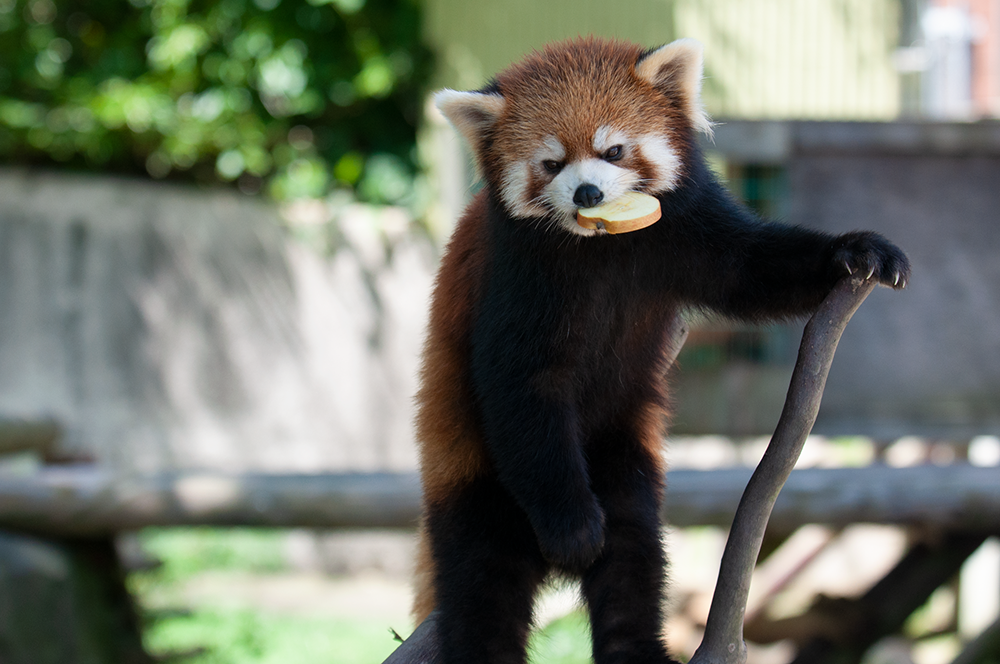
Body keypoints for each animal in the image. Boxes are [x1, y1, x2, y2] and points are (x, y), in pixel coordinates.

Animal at [410, 37, 912, 664]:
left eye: (614, 150)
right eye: (551, 164)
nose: (588, 192)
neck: (600, 243)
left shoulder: (690, 229)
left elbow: (751, 270)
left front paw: (855, 250)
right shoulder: (516, 277)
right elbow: (520, 385)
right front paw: (572, 526)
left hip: (623, 454)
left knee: (632, 555)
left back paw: (638, 647)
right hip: (472, 480)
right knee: (483, 585)